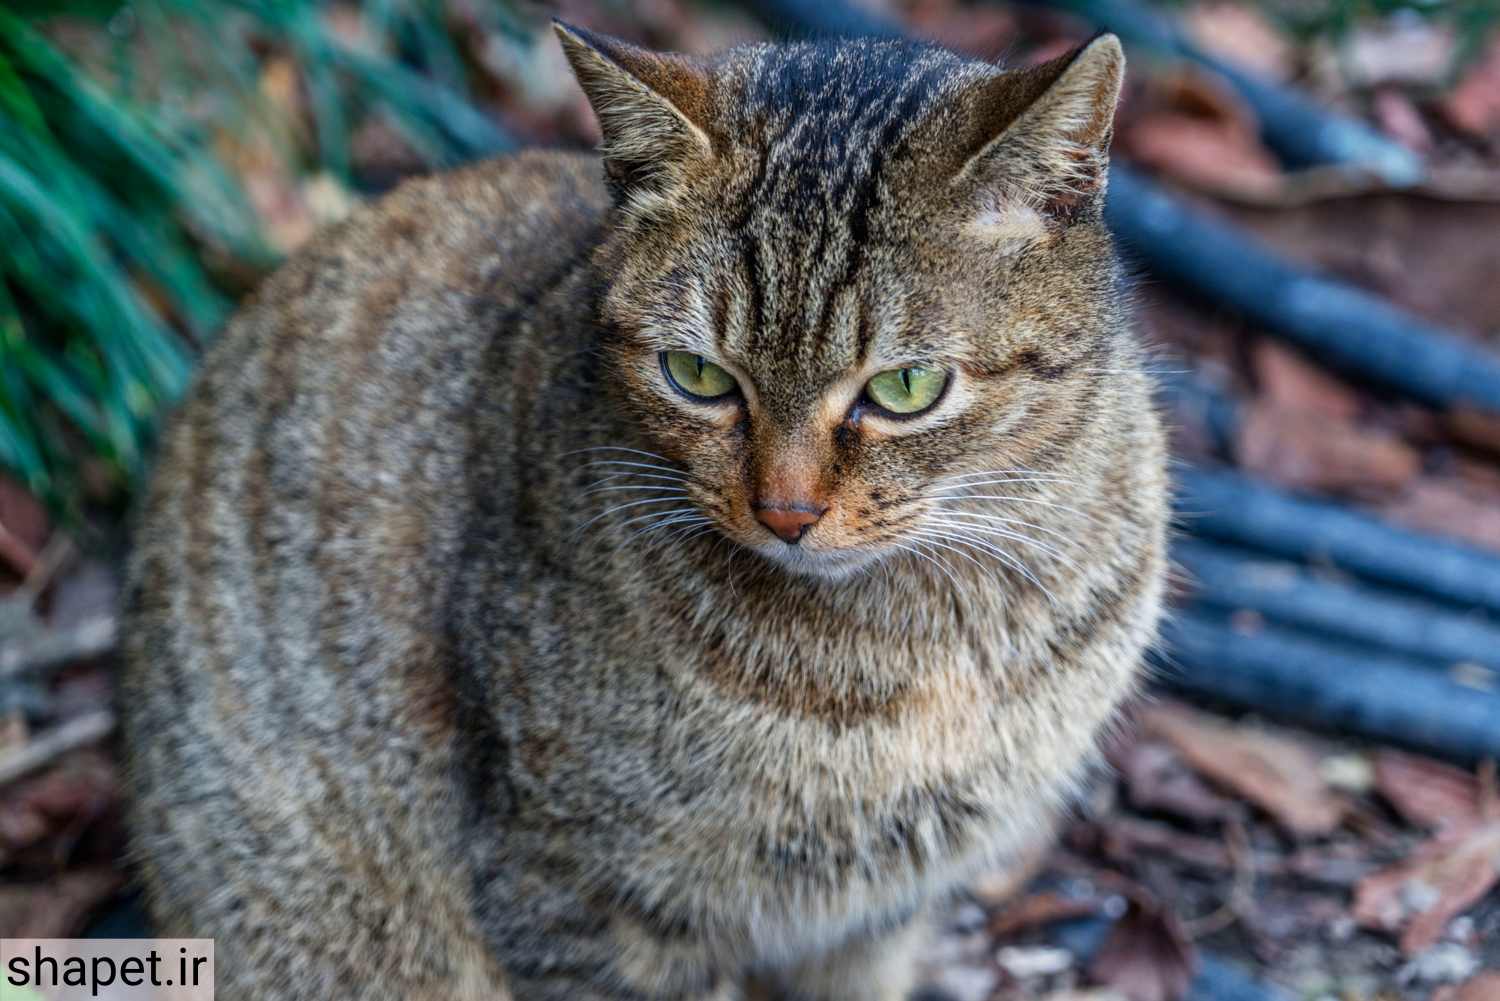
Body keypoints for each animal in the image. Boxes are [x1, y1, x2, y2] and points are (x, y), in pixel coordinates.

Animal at [120, 21, 1170, 1001]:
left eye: (905, 388)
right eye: (697, 375)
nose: (785, 510)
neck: (920, 650)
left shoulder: (878, 912)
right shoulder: (573, 886)